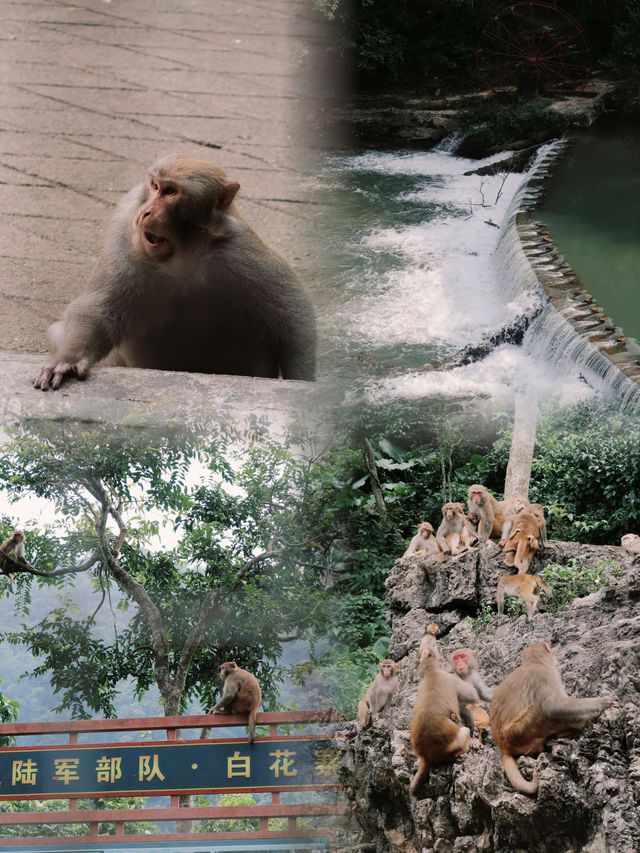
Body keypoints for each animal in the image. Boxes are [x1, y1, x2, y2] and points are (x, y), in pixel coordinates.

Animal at [34, 153, 316, 390]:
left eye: (170, 191)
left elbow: (293, 317)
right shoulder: (125, 230)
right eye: (154, 186)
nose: (145, 211)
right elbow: (100, 308)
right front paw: (69, 358)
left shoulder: (242, 249)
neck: (183, 255)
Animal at [408, 648, 472, 796]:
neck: (431, 673)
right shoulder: (451, 678)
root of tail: (425, 755)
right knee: (465, 732)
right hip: (451, 749)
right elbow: (471, 696)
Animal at [490, 644, 616, 796]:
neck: (534, 662)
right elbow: (555, 707)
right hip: (522, 730)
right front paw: (603, 702)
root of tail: (503, 747)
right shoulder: (544, 675)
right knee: (541, 708)